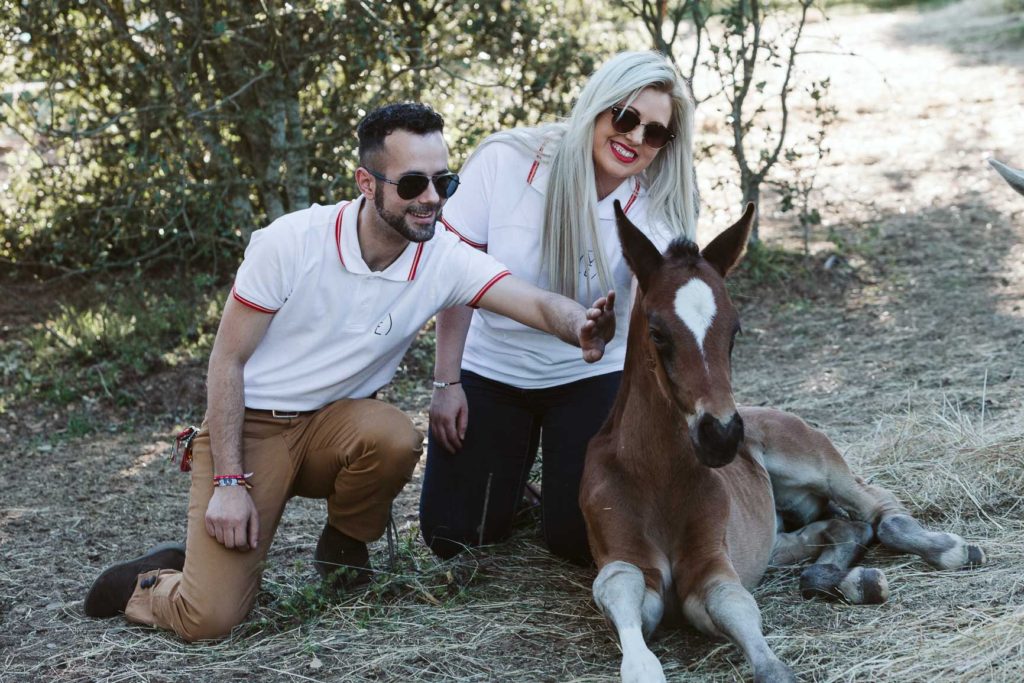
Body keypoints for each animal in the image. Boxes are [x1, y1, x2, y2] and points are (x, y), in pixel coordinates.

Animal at [581, 202, 987, 683]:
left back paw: (951, 550)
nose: (722, 436)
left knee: (879, 509)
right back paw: (851, 580)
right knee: (841, 529)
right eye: (658, 332)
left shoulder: (712, 560)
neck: (656, 474)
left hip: (816, 462)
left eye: (735, 330)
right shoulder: (626, 557)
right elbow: (621, 590)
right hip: (777, 531)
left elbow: (731, 602)